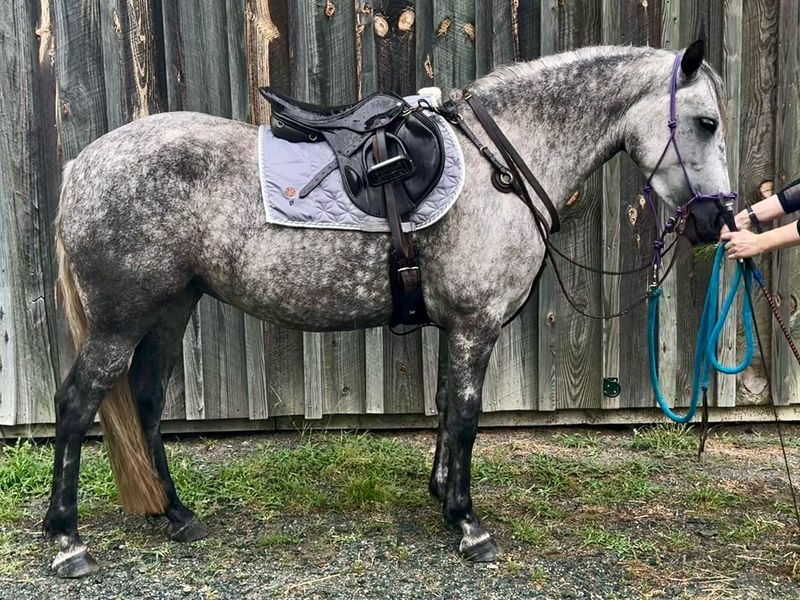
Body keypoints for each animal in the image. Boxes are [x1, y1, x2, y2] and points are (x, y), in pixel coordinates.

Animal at [47, 42, 728, 576]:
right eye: (705, 122)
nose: (715, 220)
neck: (499, 166)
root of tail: (81, 164)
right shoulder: (476, 325)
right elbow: (467, 416)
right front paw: (468, 525)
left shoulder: (456, 327)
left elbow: (448, 405)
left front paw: (442, 496)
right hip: (121, 321)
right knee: (77, 404)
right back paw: (67, 542)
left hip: (170, 308)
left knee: (147, 399)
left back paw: (178, 515)